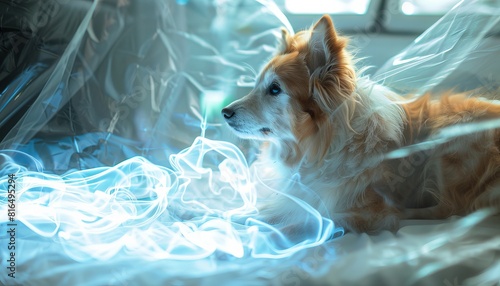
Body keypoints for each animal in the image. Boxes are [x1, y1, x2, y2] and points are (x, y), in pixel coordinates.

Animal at [222, 15, 500, 232]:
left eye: (275, 89)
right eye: (257, 86)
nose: (224, 112)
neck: (317, 145)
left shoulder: (351, 207)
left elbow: (308, 218)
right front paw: (243, 213)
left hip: (451, 136)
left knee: (448, 208)